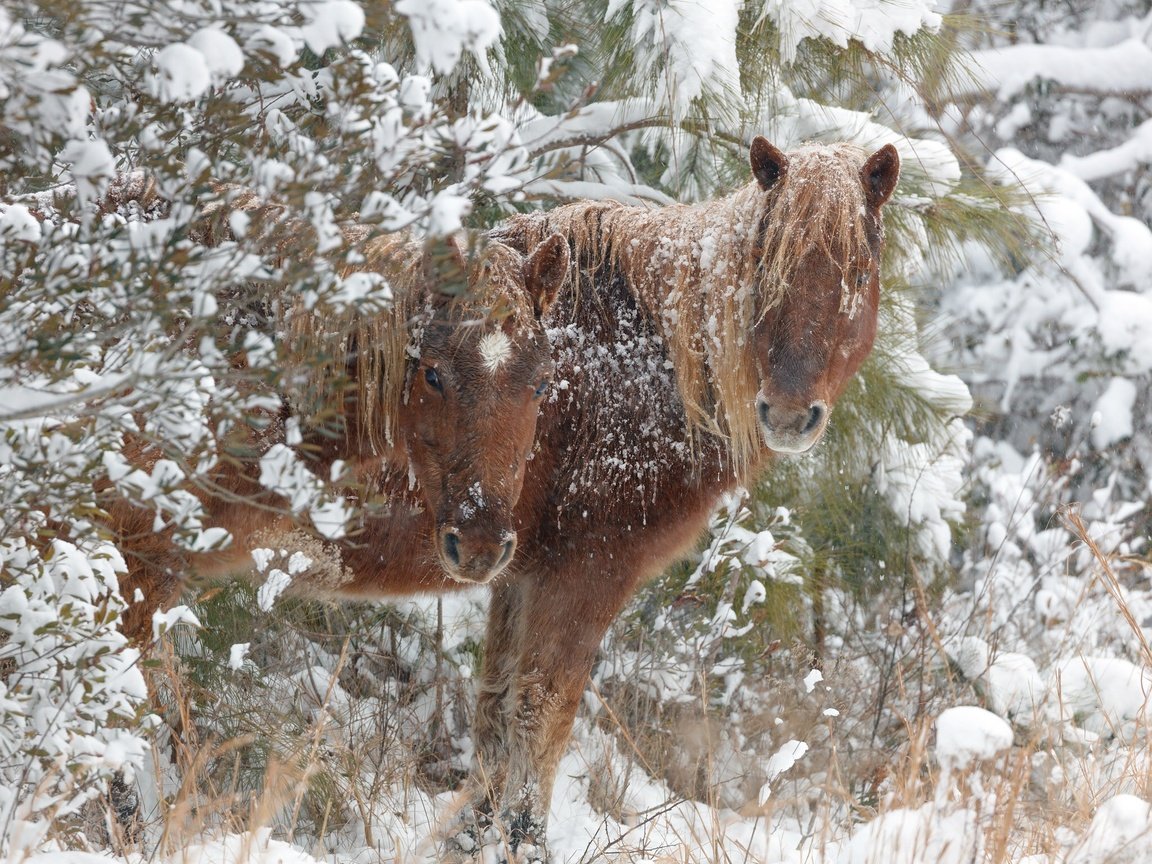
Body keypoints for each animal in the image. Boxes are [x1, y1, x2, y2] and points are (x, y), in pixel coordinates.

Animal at [449, 138, 898, 861]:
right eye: (765, 269)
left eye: (857, 272)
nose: (788, 413)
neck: (642, 367)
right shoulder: (583, 573)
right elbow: (542, 709)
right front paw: (523, 839)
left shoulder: (517, 571)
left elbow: (495, 702)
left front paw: (475, 833)